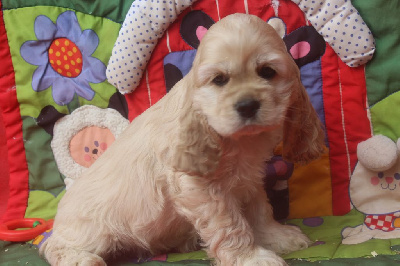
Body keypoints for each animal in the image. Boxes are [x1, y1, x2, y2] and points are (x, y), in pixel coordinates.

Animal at [40, 13, 324, 266]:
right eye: (219, 80)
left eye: (267, 72)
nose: (247, 105)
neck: (238, 141)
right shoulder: (200, 189)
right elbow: (230, 225)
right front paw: (251, 258)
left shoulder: (249, 178)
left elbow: (260, 210)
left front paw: (278, 236)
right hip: (92, 232)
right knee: (52, 245)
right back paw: (80, 259)